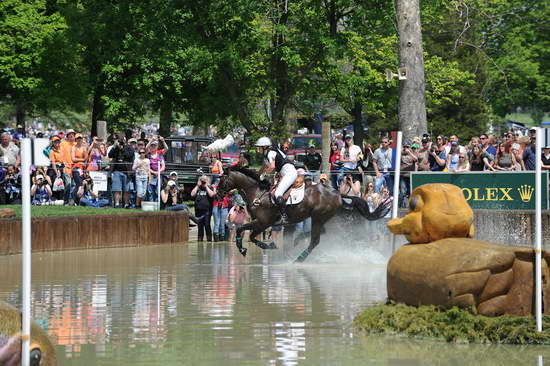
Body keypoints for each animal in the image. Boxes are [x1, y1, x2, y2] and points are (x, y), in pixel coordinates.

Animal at [217, 166, 392, 264]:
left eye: (222, 180)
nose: (218, 195)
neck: (258, 193)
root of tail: (337, 194)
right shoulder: (260, 222)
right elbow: (245, 232)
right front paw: (247, 248)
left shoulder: (264, 222)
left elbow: (247, 233)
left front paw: (259, 247)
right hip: (321, 218)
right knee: (320, 234)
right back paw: (298, 241)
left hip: (318, 217)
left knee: (315, 240)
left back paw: (299, 259)